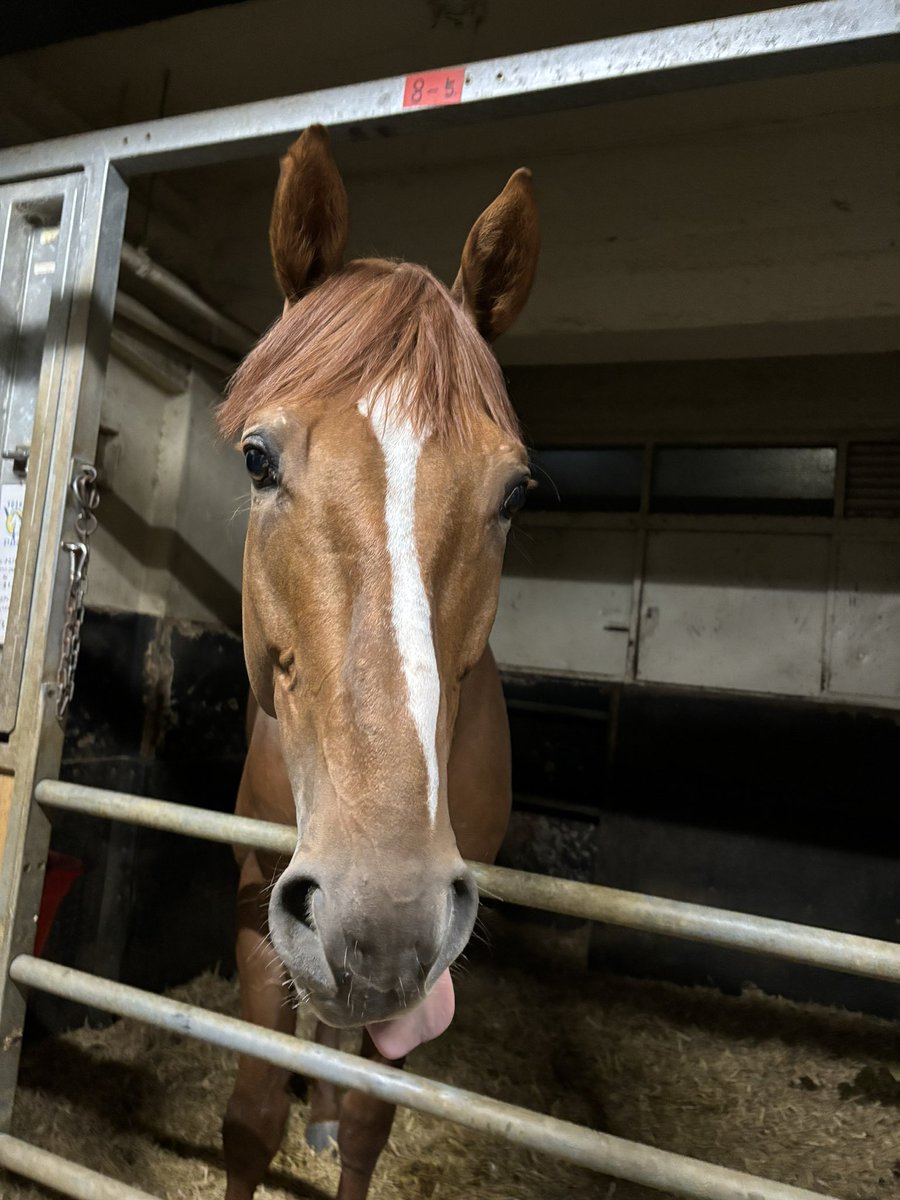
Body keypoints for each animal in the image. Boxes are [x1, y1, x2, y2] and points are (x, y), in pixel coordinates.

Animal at [218, 124, 540, 1200]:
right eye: (258, 458)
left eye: (515, 493)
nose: (383, 915)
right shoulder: (259, 902)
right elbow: (250, 1114)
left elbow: (368, 1121)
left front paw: (338, 1124)